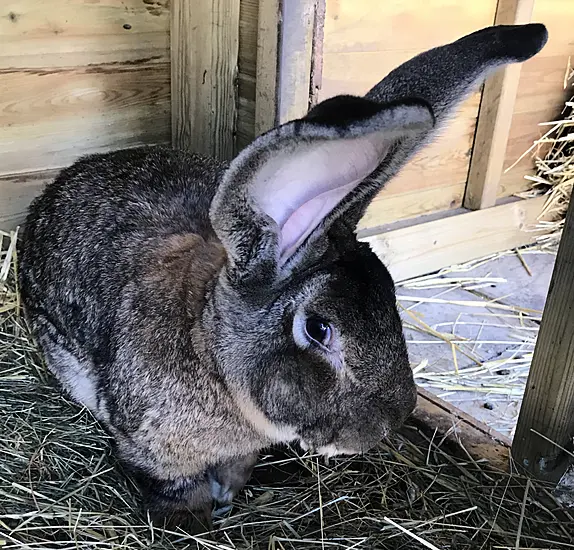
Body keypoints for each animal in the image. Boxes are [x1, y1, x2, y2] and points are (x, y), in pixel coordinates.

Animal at [16, 24, 548, 532]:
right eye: (318, 328)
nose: (387, 424)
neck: (208, 348)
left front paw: (228, 496)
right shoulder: (152, 450)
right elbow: (175, 489)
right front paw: (196, 520)